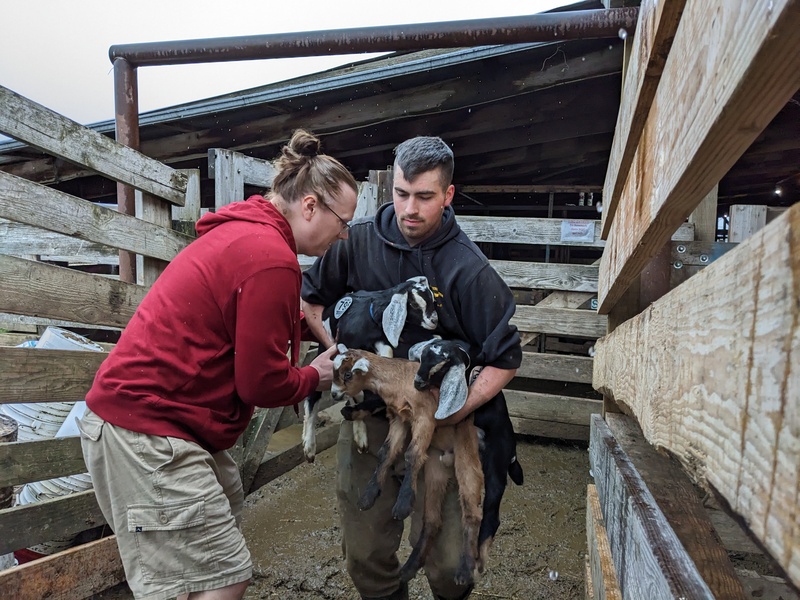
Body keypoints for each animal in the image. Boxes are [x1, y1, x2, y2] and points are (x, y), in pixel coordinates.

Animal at [300, 274, 438, 462]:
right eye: (415, 305)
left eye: (432, 300)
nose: (434, 321)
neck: (370, 314)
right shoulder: (343, 344)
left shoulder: (379, 340)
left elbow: (386, 353)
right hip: (323, 350)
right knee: (313, 397)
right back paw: (309, 446)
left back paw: (360, 436)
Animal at [406, 340, 524, 576]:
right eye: (422, 358)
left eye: (439, 369)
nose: (418, 382)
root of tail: (512, 451)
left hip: (495, 464)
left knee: (491, 513)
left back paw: (477, 559)